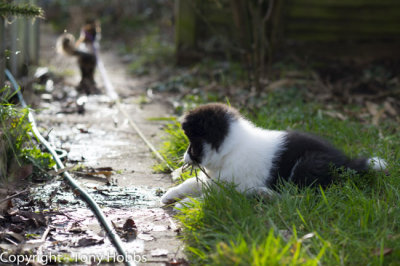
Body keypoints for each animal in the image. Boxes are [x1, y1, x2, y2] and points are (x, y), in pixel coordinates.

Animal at [161, 103, 386, 205]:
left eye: (193, 143)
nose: (184, 158)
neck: (232, 148)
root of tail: (348, 164)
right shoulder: (218, 178)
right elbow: (194, 182)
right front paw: (170, 195)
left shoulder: (235, 185)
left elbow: (212, 194)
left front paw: (185, 203)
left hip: (308, 164)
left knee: (300, 195)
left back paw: (265, 194)